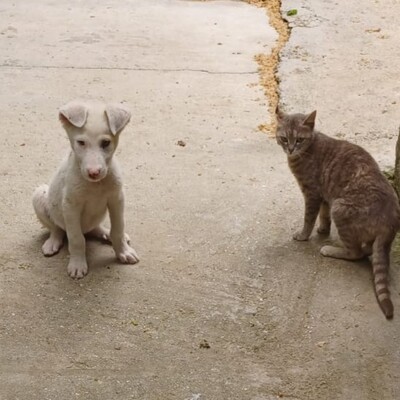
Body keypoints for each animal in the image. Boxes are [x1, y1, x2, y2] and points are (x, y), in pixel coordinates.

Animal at [33, 101, 139, 278]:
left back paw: (106, 233)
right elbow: (76, 239)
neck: (94, 185)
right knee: (57, 228)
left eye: (105, 143)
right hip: (40, 195)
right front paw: (77, 264)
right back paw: (53, 242)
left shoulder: (117, 199)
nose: (94, 172)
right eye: (81, 143)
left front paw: (123, 251)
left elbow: (118, 229)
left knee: (96, 228)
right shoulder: (70, 206)